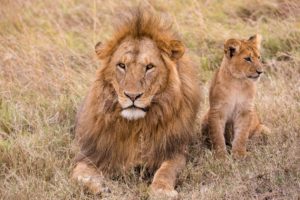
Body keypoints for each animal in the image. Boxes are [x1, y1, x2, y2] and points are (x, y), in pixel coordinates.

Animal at [71, 4, 200, 198]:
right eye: (121, 65)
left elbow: (166, 170)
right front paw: (99, 186)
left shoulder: (175, 150)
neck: (135, 127)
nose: (132, 96)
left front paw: (161, 190)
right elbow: (77, 175)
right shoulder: (93, 153)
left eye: (149, 67)